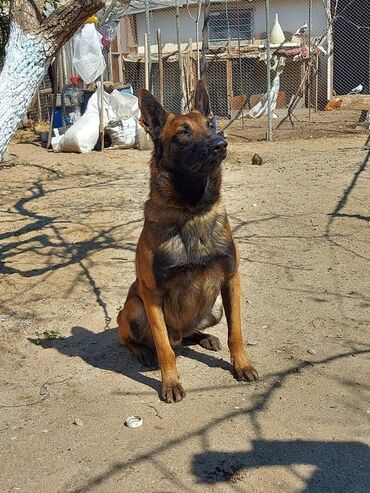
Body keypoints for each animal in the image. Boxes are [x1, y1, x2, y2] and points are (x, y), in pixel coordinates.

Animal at [118, 80, 258, 402]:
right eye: (183, 132)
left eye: (211, 125)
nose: (220, 144)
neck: (192, 211)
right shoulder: (151, 295)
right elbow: (164, 349)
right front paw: (170, 383)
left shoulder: (231, 280)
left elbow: (236, 333)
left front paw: (242, 365)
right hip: (133, 309)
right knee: (134, 339)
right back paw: (142, 352)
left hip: (214, 307)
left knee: (190, 334)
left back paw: (204, 337)